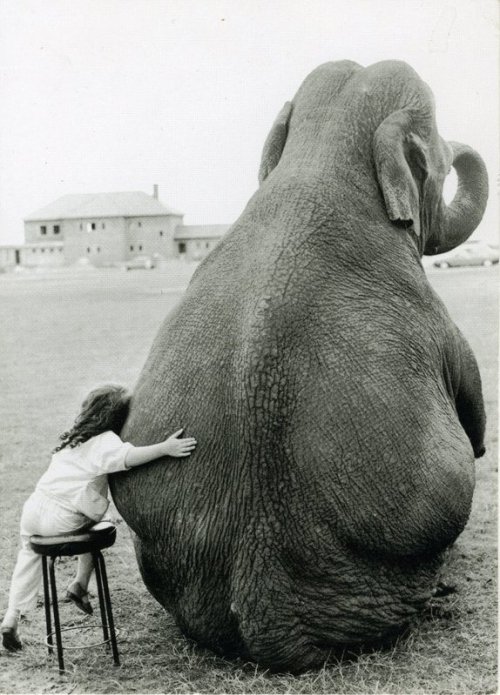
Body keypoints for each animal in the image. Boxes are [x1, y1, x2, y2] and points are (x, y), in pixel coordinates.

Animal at [110, 60, 488, 672]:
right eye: (434, 157)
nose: (461, 149)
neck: (322, 154)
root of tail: (267, 614)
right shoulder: (435, 316)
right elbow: (472, 408)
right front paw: (479, 445)